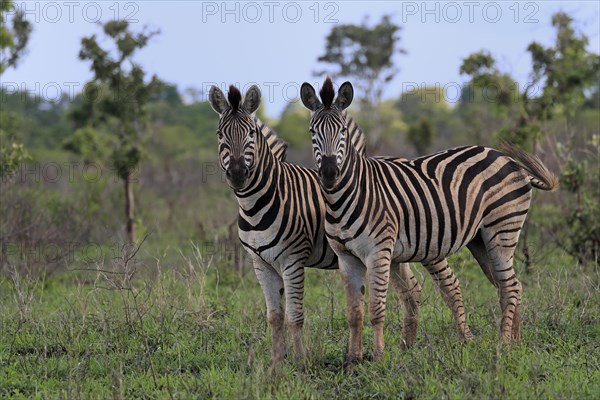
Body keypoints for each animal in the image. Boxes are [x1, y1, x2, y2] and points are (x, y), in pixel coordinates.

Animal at [209, 84, 424, 366]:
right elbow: (274, 317)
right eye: (220, 134)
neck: (259, 201)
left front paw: (300, 361)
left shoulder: (292, 259)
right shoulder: (260, 263)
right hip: (395, 253)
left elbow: (294, 316)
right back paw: (407, 348)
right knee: (413, 292)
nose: (236, 174)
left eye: (251, 134)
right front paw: (276, 362)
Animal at [300, 77, 556, 368]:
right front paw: (352, 360)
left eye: (342, 131)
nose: (330, 173)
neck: (343, 198)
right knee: (510, 285)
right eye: (312, 131)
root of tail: (508, 159)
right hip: (481, 241)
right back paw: (515, 343)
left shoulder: (378, 252)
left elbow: (376, 308)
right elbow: (354, 313)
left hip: (502, 230)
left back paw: (502, 345)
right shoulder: (346, 257)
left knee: (510, 286)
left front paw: (378, 357)